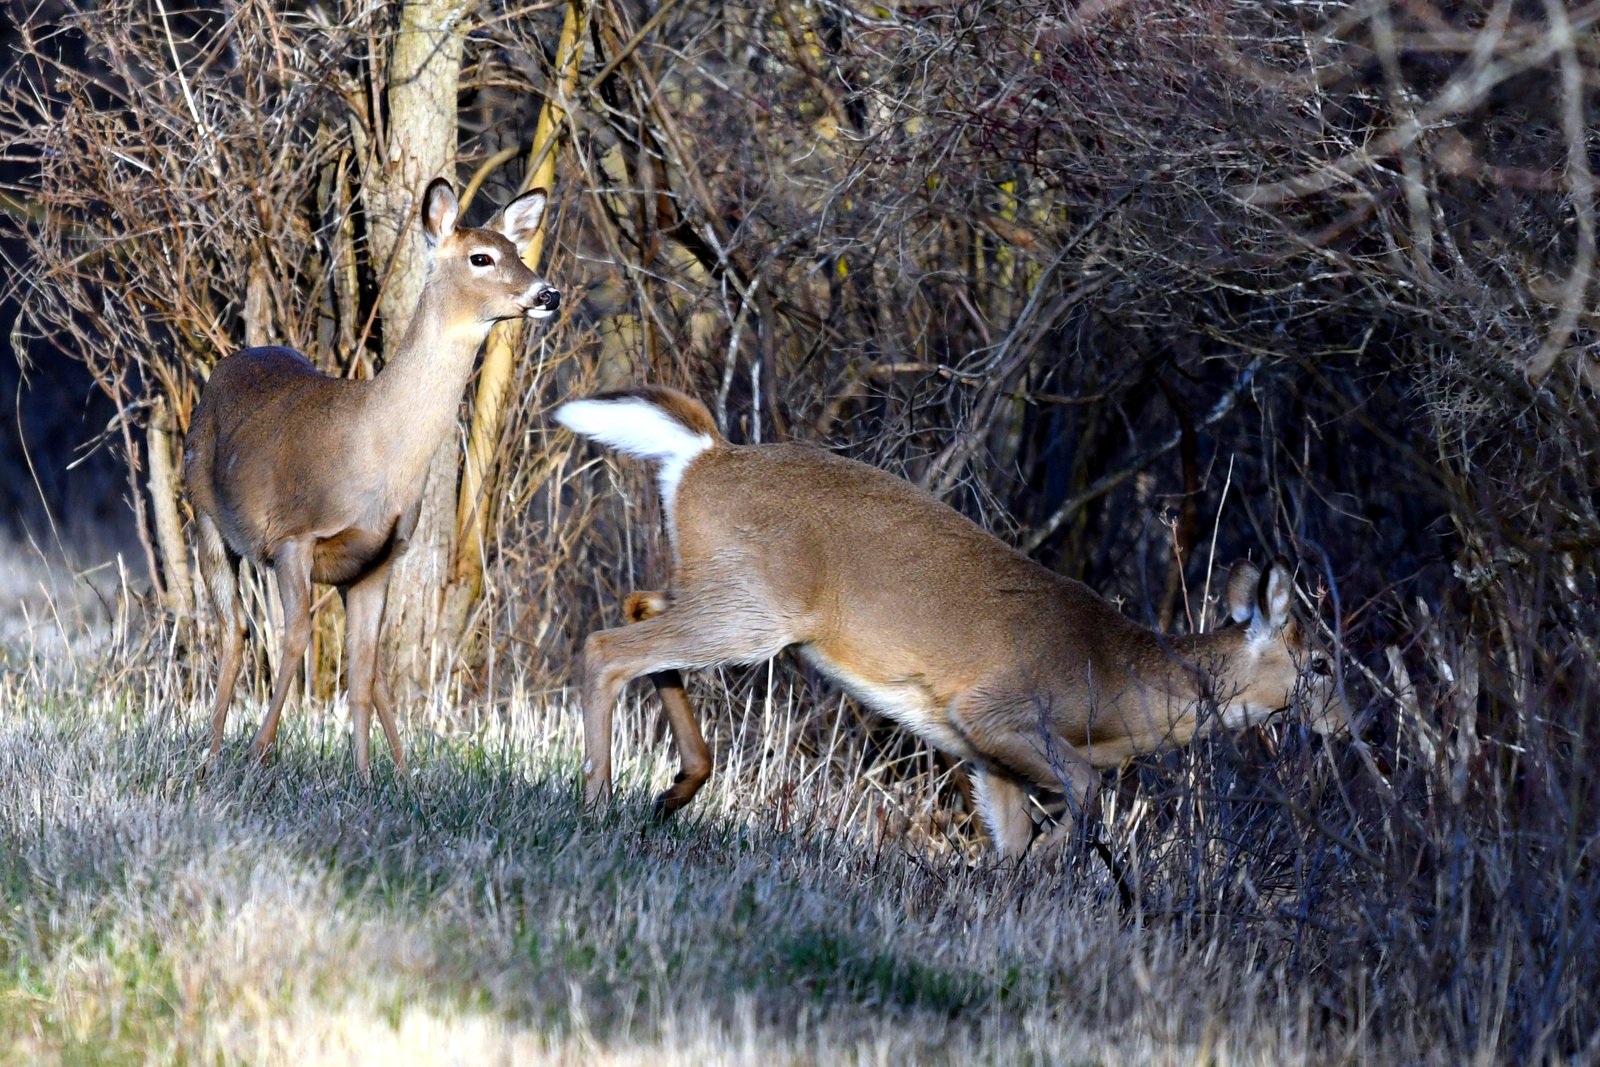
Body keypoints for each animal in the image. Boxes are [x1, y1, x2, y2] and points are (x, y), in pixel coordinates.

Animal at [185, 177, 559, 779]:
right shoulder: (293, 536)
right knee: (236, 631)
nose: (547, 294)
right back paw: (213, 752)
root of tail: (229, 362)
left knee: (363, 667)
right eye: (481, 257)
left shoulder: (380, 557)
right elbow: (296, 640)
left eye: (518, 252)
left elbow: (362, 671)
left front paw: (364, 775)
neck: (378, 450)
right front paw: (260, 751)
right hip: (205, 518)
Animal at [555, 385, 1350, 859]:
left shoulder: (985, 757)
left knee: (639, 611)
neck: (1119, 687)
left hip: (724, 590)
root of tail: (703, 454)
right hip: (757, 607)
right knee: (606, 645)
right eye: (1321, 662)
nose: (1352, 724)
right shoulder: (997, 711)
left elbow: (1014, 840)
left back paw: (675, 789)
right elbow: (1082, 800)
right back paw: (597, 804)